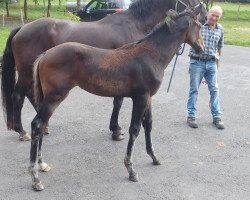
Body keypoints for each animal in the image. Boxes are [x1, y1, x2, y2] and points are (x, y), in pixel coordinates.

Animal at [0, 0, 207, 141]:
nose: (205, 16)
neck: (134, 24)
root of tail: (22, 28)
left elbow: (118, 101)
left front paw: (115, 128)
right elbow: (118, 102)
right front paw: (116, 130)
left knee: (31, 95)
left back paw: (45, 126)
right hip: (25, 73)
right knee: (18, 96)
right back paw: (22, 131)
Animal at [29, 5, 205, 191]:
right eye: (199, 26)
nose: (202, 48)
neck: (151, 55)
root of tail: (44, 54)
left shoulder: (148, 98)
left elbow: (148, 124)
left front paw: (154, 157)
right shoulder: (140, 97)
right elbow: (134, 129)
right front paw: (131, 170)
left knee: (42, 125)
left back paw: (42, 164)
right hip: (55, 97)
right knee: (37, 124)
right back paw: (35, 178)